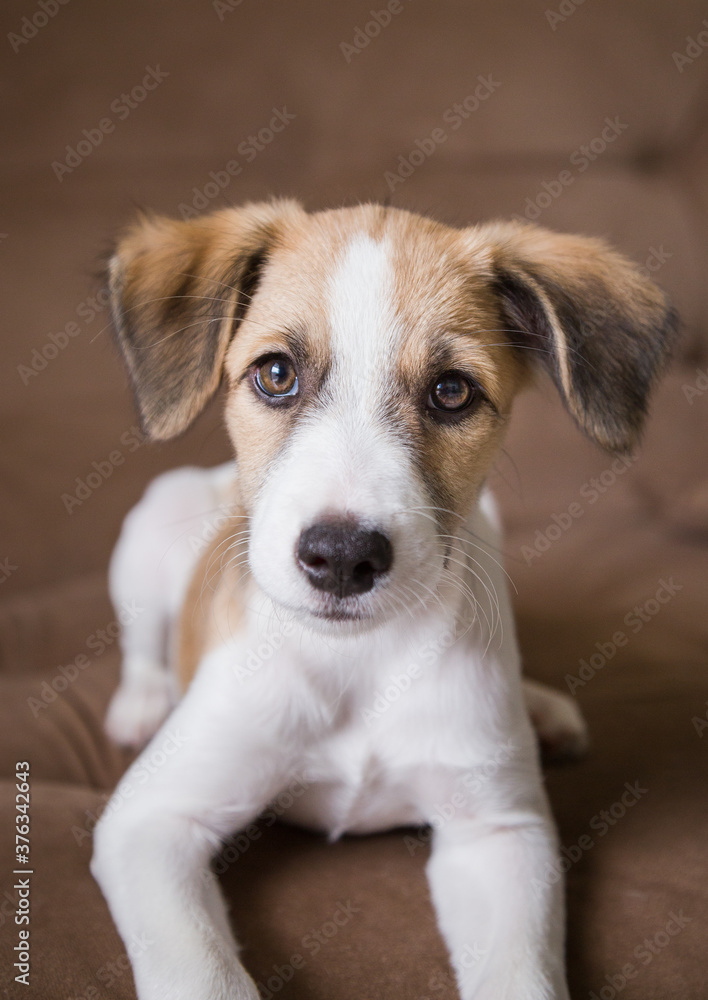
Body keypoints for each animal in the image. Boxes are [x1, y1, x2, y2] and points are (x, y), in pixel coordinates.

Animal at [91, 199, 676, 996]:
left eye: (452, 391)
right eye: (276, 373)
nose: (342, 558)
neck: (358, 660)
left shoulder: (497, 836)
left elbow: (520, 977)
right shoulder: (151, 822)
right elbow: (201, 972)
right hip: (153, 521)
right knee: (143, 641)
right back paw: (143, 702)